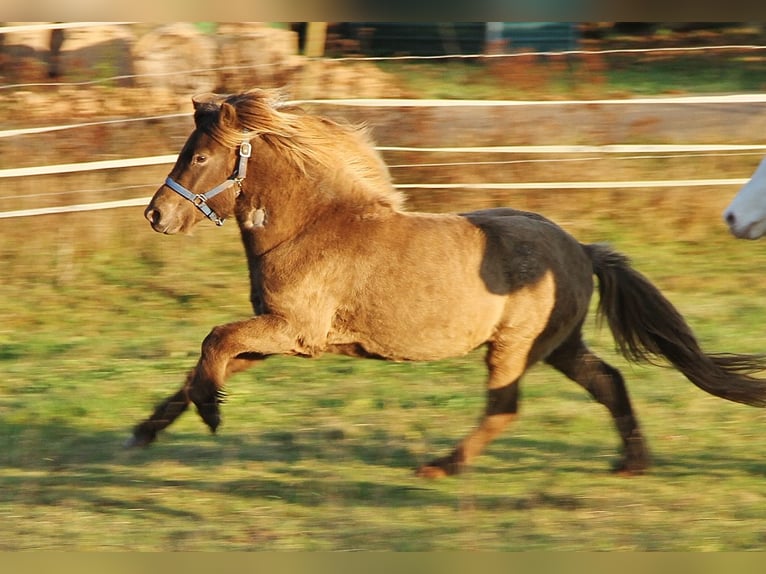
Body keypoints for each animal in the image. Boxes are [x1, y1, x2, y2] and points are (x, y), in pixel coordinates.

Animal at [130, 89, 766, 476]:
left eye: (201, 157)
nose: (156, 215)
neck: (312, 227)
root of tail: (582, 251)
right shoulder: (278, 337)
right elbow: (203, 364)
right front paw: (146, 429)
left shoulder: (293, 332)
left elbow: (214, 341)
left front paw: (212, 414)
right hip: (559, 346)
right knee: (608, 382)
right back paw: (633, 462)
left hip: (514, 348)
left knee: (506, 408)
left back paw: (442, 465)